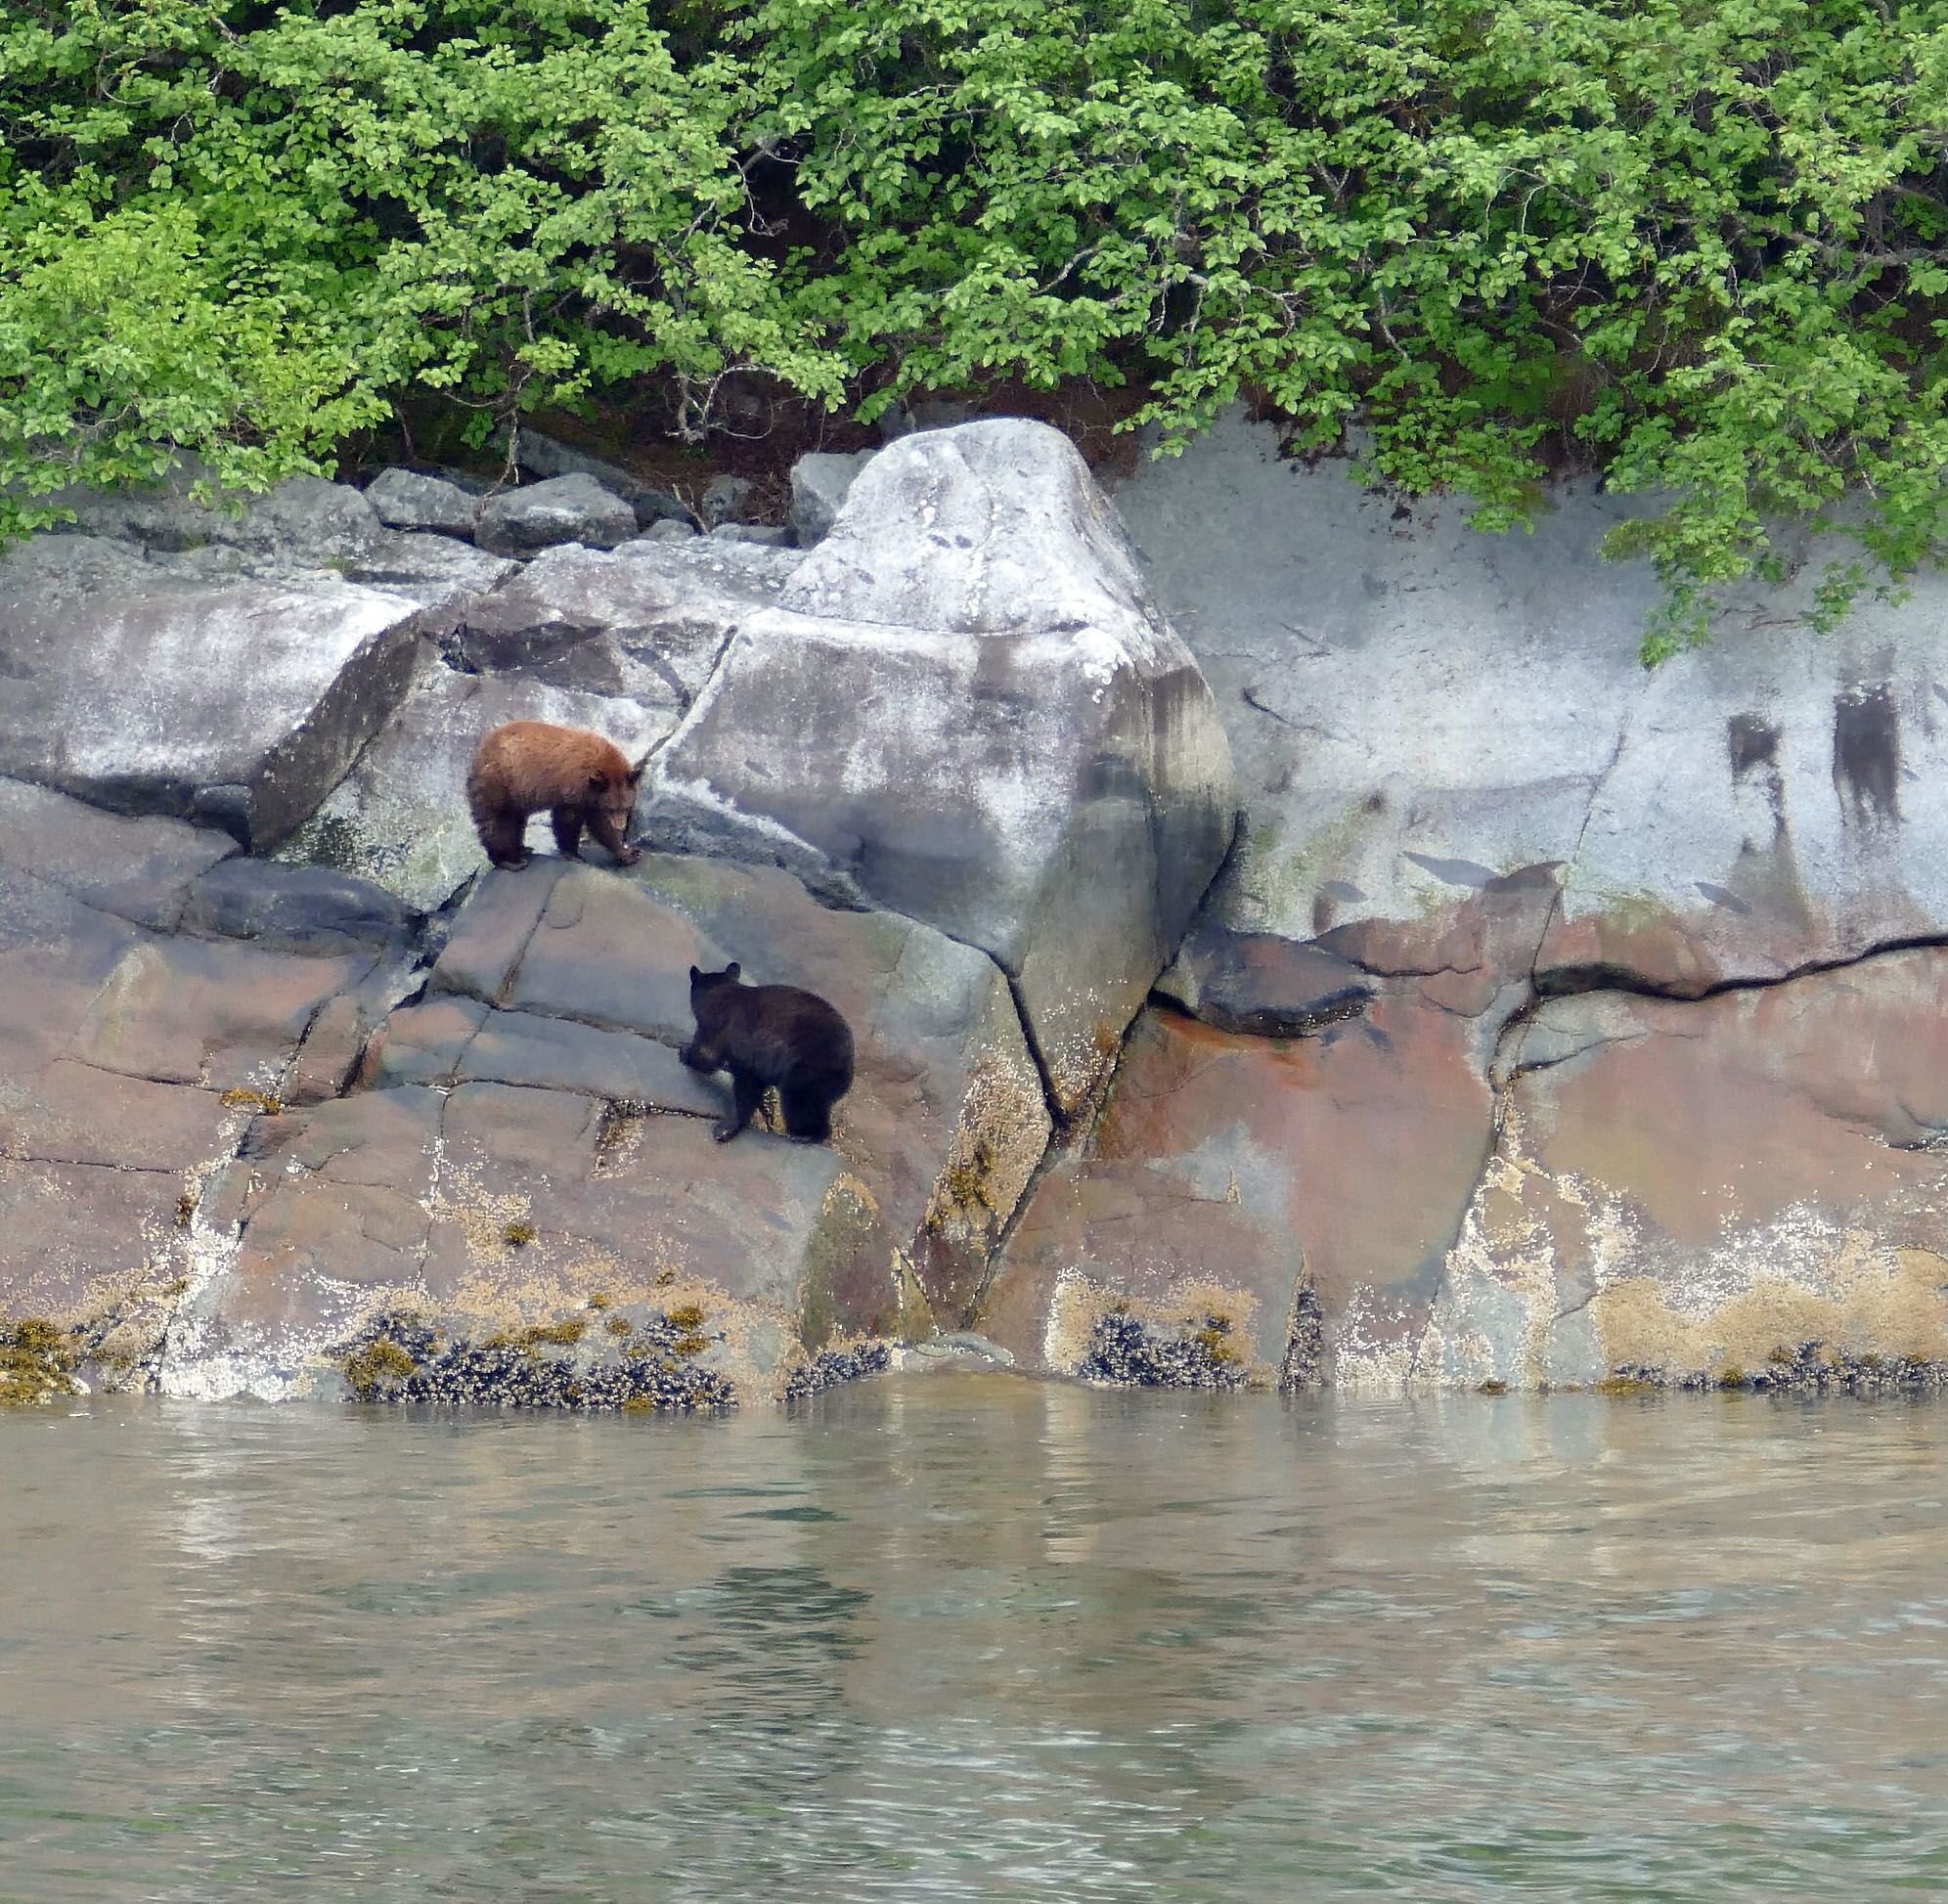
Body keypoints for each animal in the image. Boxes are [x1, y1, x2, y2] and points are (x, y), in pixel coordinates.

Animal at [465, 720, 643, 871]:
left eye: (626, 807)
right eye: (612, 808)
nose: (621, 826)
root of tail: (479, 753)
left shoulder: (592, 797)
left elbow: (600, 825)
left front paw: (629, 853)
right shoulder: (572, 786)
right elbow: (567, 820)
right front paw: (573, 854)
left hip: (514, 794)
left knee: (515, 820)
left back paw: (523, 849)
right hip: (500, 783)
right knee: (498, 821)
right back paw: (509, 860)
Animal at [681, 963, 855, 1145]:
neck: (721, 992)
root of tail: (849, 1065)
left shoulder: (723, 1030)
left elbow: (710, 1056)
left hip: (808, 1068)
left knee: (798, 1102)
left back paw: (805, 1136)